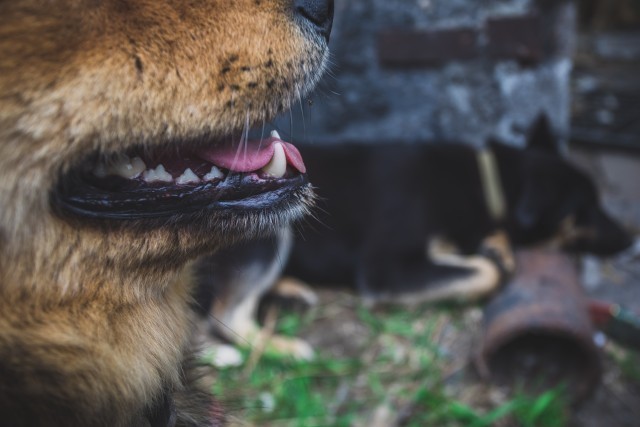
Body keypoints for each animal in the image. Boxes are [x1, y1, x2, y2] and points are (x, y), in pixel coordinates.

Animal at [199, 116, 632, 358]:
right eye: (587, 208)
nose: (631, 239)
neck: (486, 182)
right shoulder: (386, 268)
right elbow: (487, 272)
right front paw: (491, 258)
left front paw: (495, 247)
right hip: (271, 222)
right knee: (226, 316)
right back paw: (283, 348)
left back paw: (291, 291)